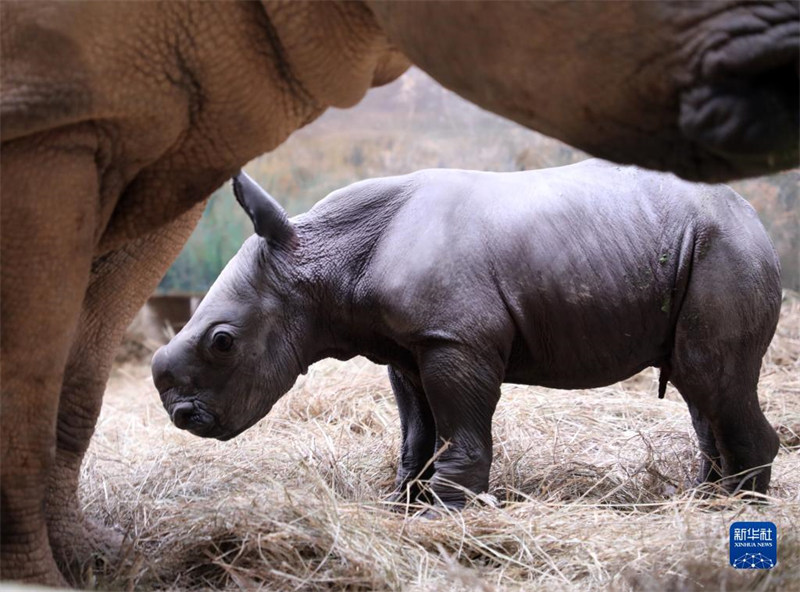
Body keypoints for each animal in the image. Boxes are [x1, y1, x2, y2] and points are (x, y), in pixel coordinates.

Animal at [152, 161, 780, 508]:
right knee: (699, 388)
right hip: (695, 243)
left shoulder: (454, 337)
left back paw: (737, 512)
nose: (184, 417)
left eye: (223, 341)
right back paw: (698, 501)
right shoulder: (408, 346)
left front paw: (446, 512)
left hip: (725, 248)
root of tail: (753, 216)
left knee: (710, 376)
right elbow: (417, 430)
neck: (326, 252)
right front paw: (401, 505)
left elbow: (459, 424)